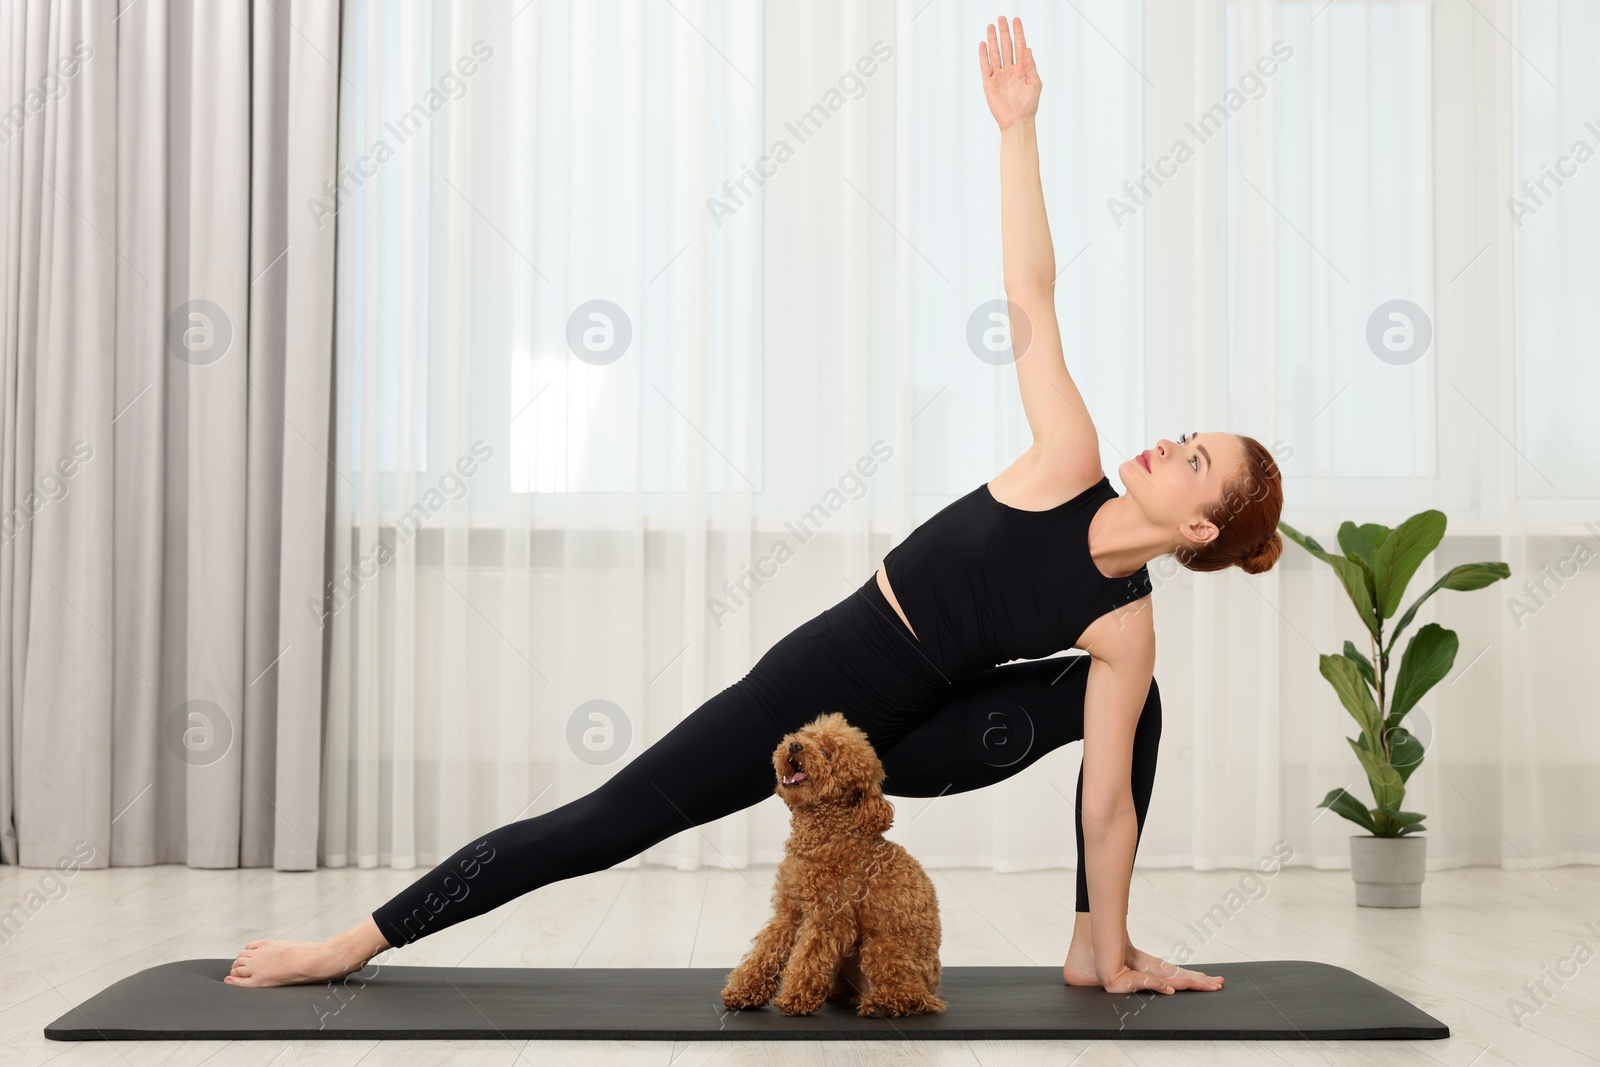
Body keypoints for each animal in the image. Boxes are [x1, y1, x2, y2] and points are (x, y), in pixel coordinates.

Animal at [720, 713, 940, 1017]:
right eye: (808, 736)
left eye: (827, 754)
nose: (795, 745)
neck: (824, 835)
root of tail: (932, 988)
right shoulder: (789, 910)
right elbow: (766, 951)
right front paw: (744, 992)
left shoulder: (830, 916)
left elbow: (808, 958)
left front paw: (794, 999)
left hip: (882, 949)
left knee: (910, 997)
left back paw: (879, 1004)